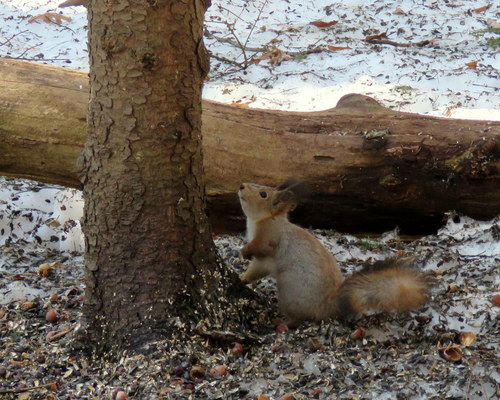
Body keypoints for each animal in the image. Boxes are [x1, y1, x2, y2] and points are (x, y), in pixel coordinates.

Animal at [238, 180, 430, 326]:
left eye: (263, 194)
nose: (241, 186)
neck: (264, 219)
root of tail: (328, 307)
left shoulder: (269, 239)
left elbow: (261, 247)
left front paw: (244, 250)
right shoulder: (263, 262)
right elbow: (255, 270)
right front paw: (243, 278)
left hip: (288, 289)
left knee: (297, 319)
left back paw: (281, 323)